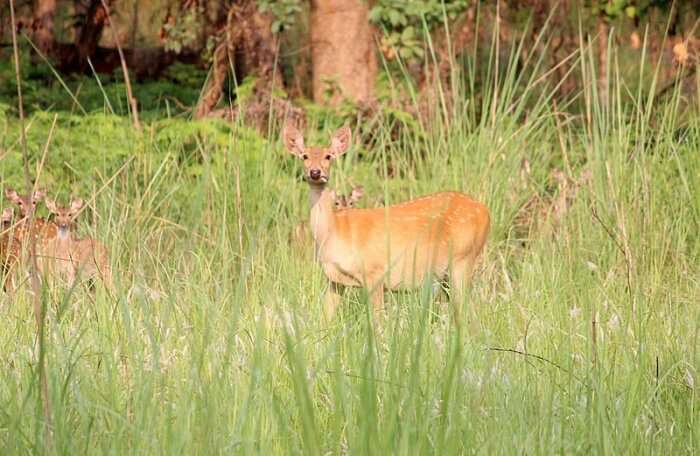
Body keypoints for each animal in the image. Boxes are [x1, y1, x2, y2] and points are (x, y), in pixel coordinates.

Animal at [282, 124, 490, 324]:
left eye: (328, 156)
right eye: (304, 156)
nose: (315, 172)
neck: (334, 231)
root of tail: (486, 212)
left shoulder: (375, 272)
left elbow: (378, 325)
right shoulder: (335, 280)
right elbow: (323, 320)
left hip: (462, 258)